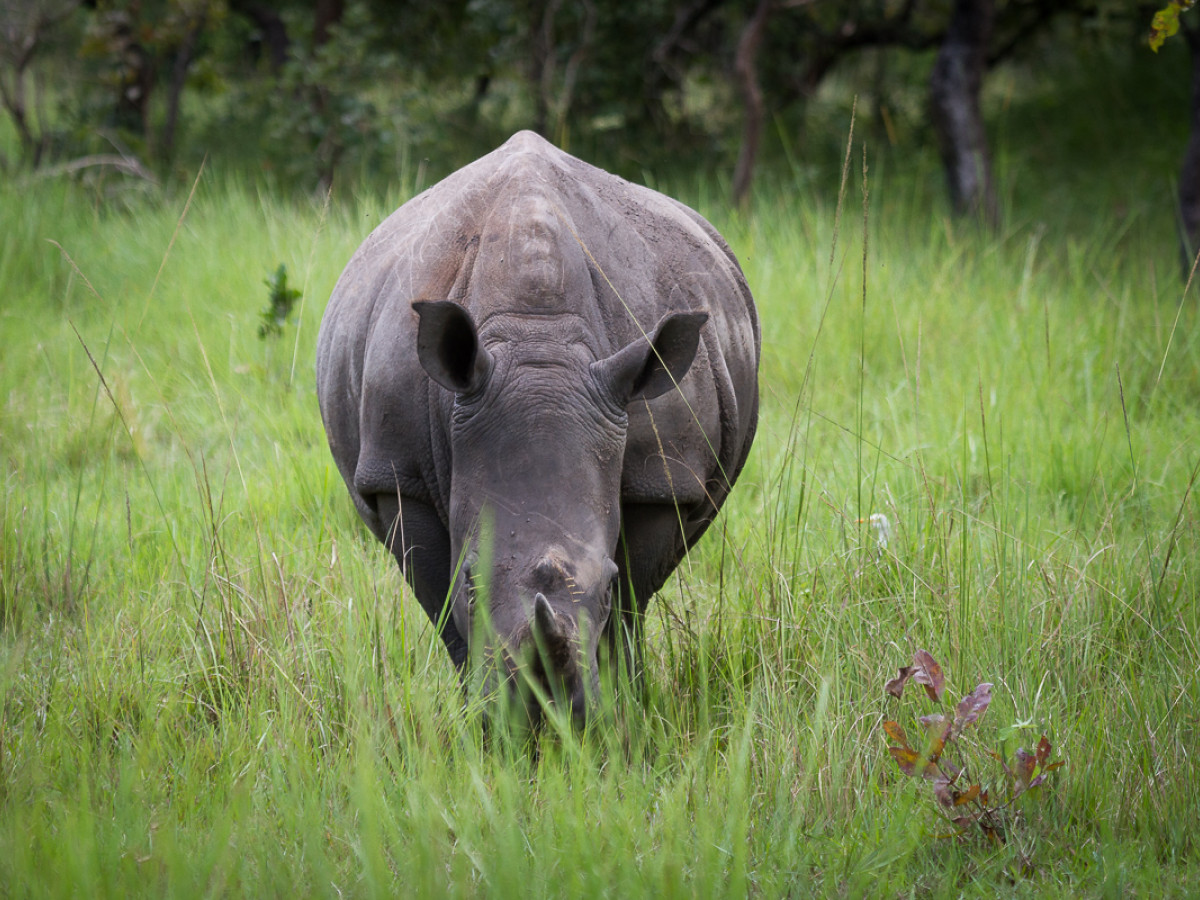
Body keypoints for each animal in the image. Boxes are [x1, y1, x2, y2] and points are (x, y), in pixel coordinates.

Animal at [316, 131, 759, 723]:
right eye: (471, 582)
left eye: (605, 585)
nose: (543, 711)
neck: (538, 339)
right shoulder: (396, 473)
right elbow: (443, 608)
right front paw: (481, 722)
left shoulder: (662, 477)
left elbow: (629, 604)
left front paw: (619, 718)